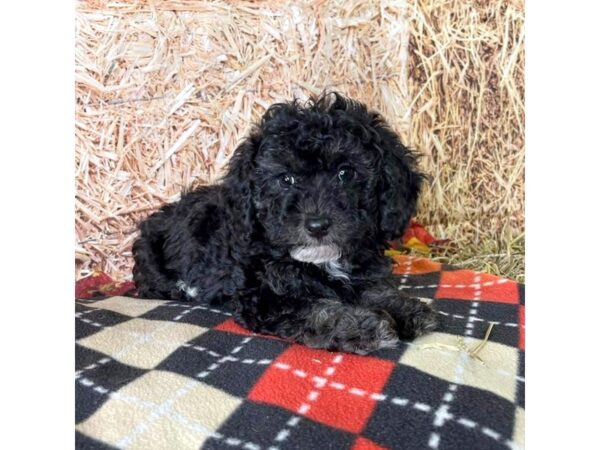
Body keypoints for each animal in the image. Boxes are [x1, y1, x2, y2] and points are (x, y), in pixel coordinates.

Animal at [134, 92, 438, 356]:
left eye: (346, 173)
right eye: (286, 179)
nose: (317, 225)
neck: (323, 261)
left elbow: (375, 289)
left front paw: (405, 308)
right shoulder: (265, 298)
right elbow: (317, 311)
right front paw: (362, 327)